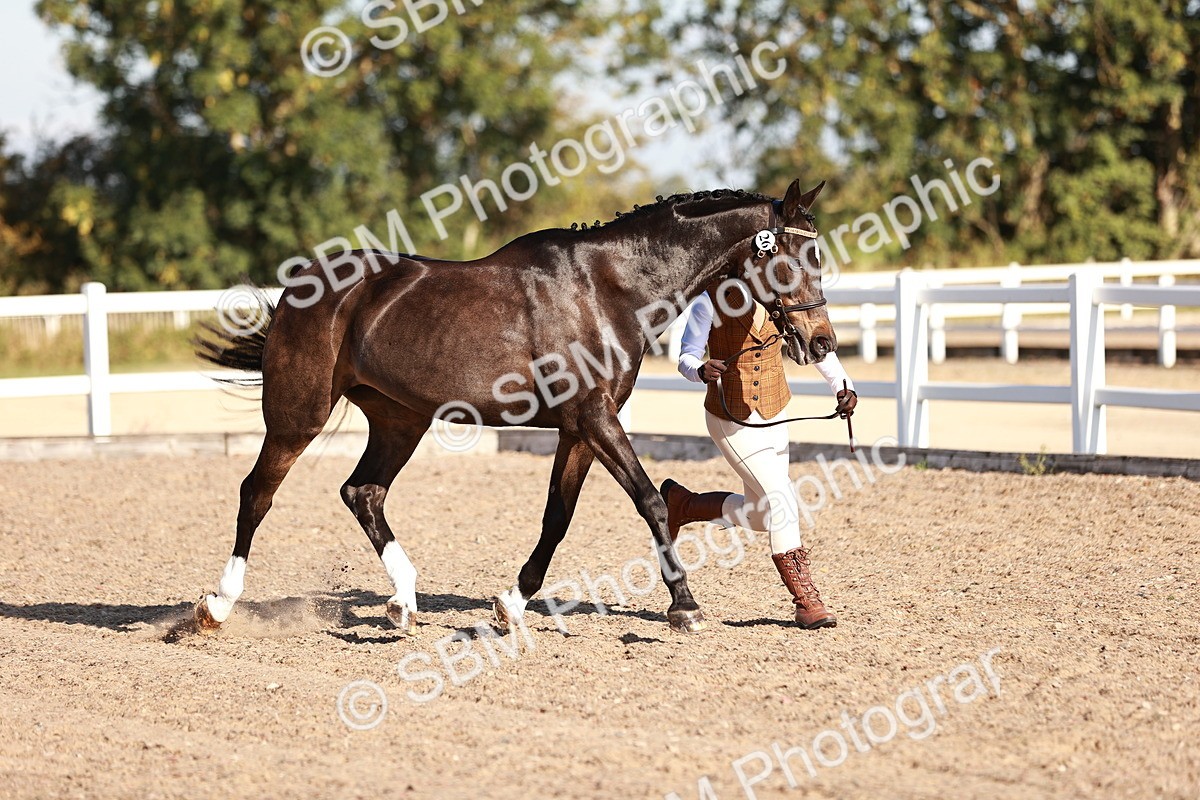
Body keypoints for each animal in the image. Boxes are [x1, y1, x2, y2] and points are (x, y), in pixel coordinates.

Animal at [193, 179, 837, 636]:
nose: (821, 342)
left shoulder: (579, 429)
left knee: (363, 493)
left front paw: (512, 603)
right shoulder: (596, 419)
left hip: (400, 420)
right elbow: (651, 502)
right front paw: (685, 606)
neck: (611, 288)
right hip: (298, 415)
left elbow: (558, 517)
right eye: (796, 258)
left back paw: (403, 604)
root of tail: (302, 285)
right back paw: (216, 607)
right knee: (257, 494)